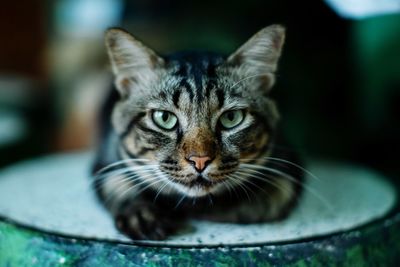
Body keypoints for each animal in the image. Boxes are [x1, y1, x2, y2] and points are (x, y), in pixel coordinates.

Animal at [91, 25, 304, 242]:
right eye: (164, 118)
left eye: (231, 118)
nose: (200, 160)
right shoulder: (106, 161)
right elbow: (119, 186)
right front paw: (143, 214)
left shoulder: (287, 165)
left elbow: (264, 201)